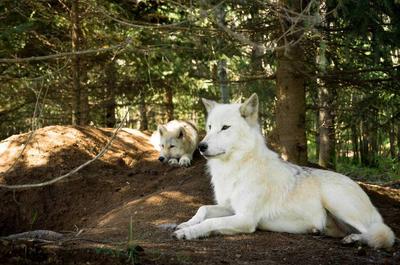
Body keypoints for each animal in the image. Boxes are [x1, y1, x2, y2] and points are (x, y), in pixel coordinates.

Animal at [173, 94, 396, 249]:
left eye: (225, 128)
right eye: (210, 127)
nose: (201, 146)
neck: (237, 167)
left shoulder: (246, 218)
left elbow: (211, 222)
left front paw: (189, 232)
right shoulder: (231, 208)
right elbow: (203, 209)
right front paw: (185, 224)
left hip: (337, 202)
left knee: (385, 234)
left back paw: (356, 239)